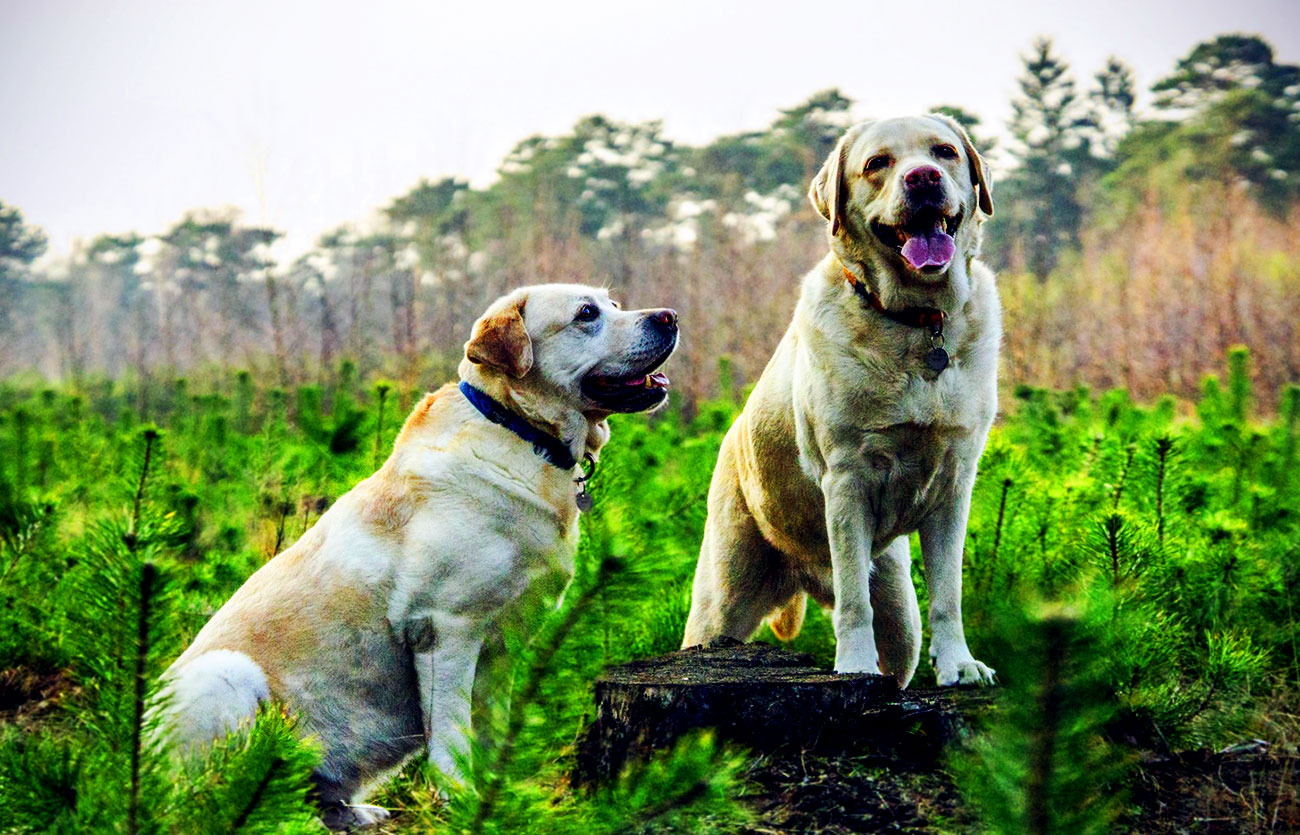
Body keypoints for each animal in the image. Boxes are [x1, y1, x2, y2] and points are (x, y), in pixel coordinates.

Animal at [159, 283, 681, 821]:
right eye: (586, 314)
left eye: (613, 305)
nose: (669, 316)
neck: (519, 431)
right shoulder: (444, 628)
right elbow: (451, 731)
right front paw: (459, 798)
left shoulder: (502, 649)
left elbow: (489, 727)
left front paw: (495, 795)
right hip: (226, 675)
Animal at [686, 113, 998, 686]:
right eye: (878, 163)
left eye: (944, 152)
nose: (923, 178)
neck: (915, 321)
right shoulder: (847, 479)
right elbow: (854, 601)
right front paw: (853, 667)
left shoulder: (953, 484)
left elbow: (949, 595)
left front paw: (960, 665)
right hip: (720, 601)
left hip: (900, 608)